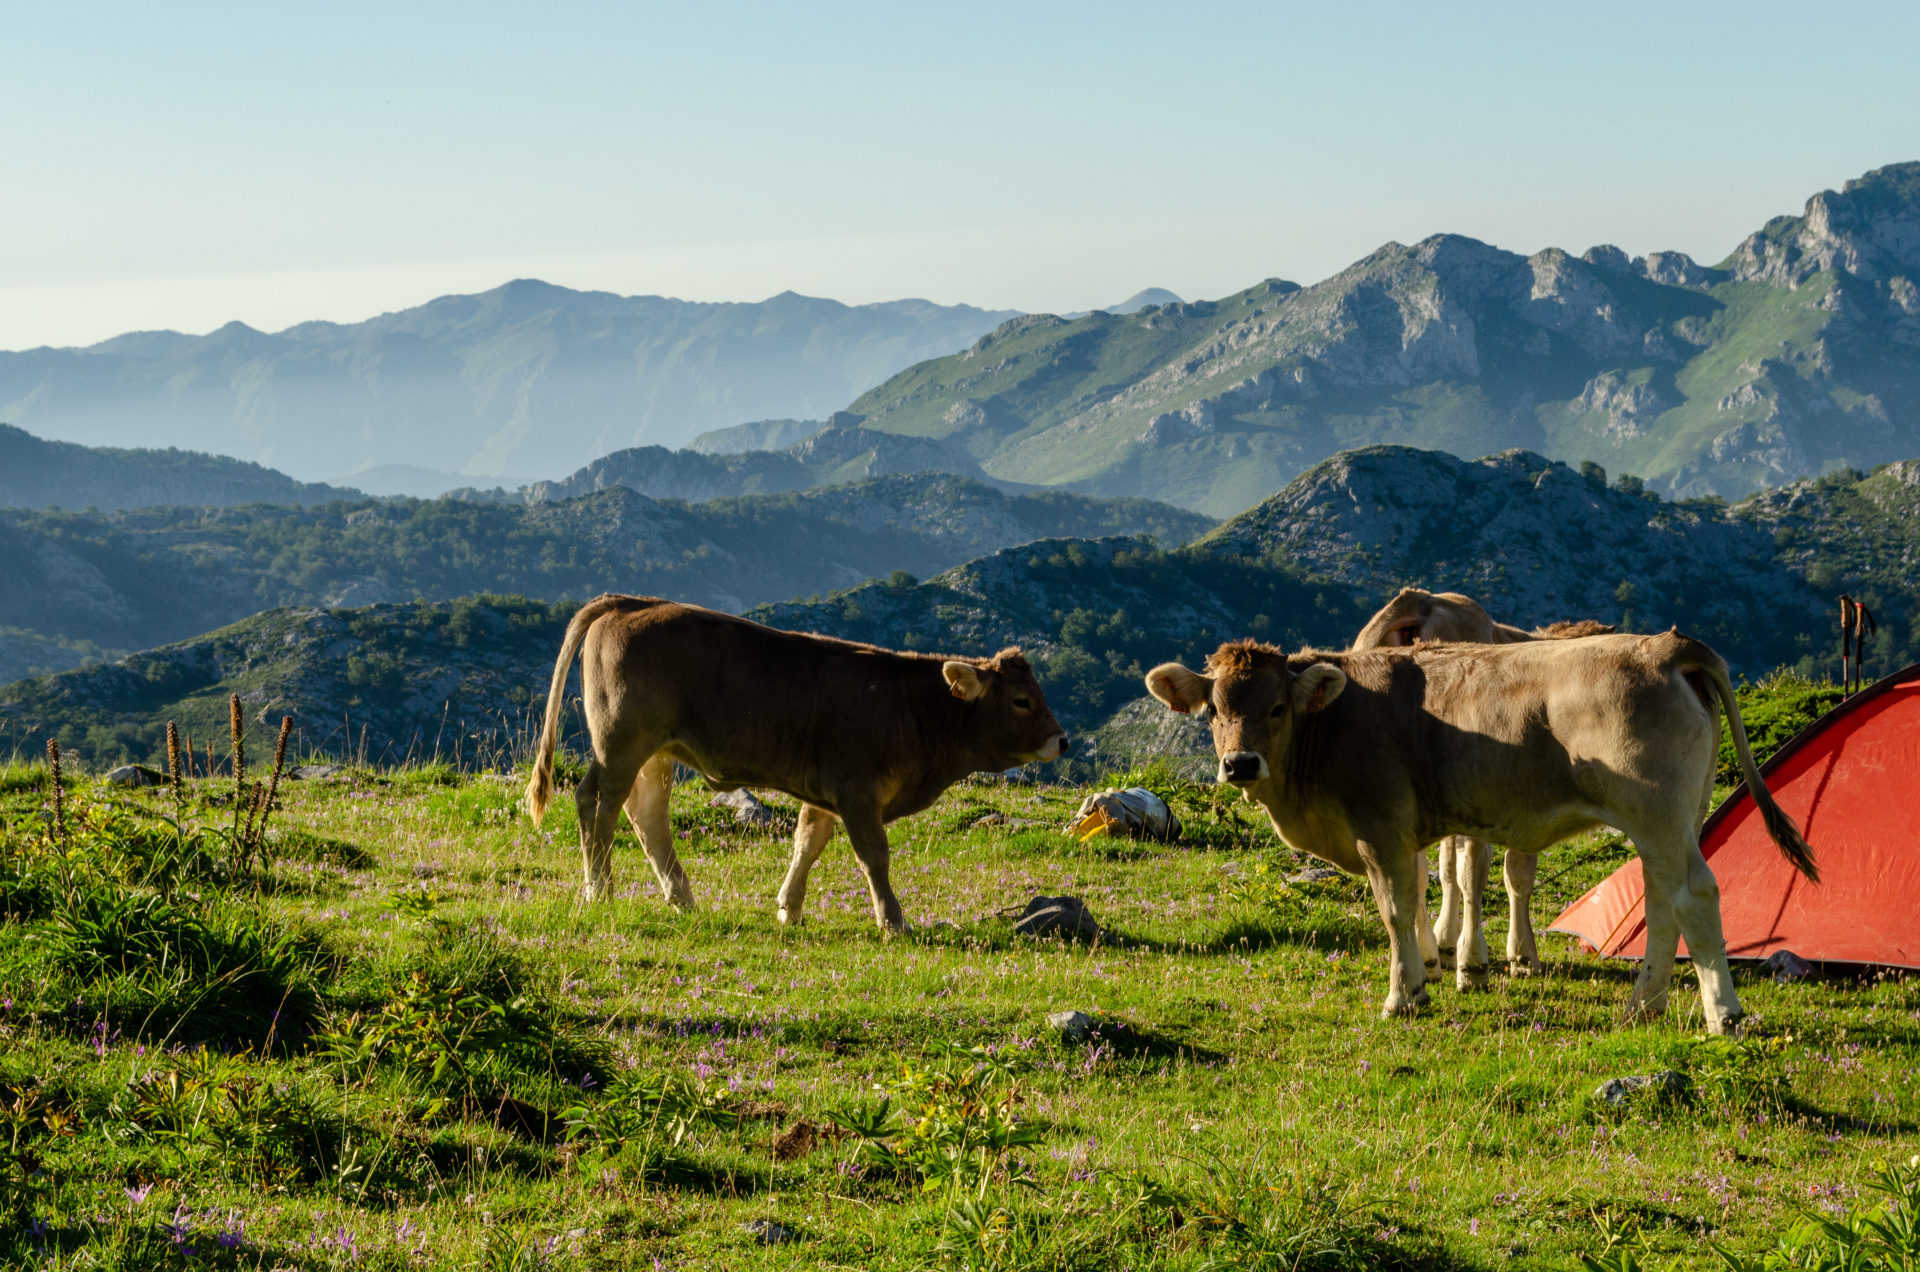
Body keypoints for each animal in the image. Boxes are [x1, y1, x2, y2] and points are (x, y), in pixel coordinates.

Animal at [526, 591, 1067, 933]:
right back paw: (600, 891)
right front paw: (893, 920)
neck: (910, 707)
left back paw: (682, 899)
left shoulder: (826, 793)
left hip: (654, 751)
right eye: (1021, 700)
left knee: (646, 814)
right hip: (620, 742)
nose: (1061, 740)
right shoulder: (856, 790)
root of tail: (629, 602)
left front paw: (789, 910)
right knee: (597, 803)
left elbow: (807, 843)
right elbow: (874, 856)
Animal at [1144, 637, 1820, 1037]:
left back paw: (1723, 1014)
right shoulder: (1408, 833)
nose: (1240, 764)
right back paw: (1642, 1003)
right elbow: (1420, 893)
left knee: (1694, 896)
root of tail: (1663, 646)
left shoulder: (1380, 828)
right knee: (1660, 901)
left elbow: (1394, 909)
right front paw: (1431, 973)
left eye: (1278, 708)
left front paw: (1404, 995)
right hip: (1675, 817)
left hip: (1658, 813)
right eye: (1213, 711)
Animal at [1351, 587, 1620, 983]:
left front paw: (1446, 944)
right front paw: (1522, 956)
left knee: (1416, 871)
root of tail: (1420, 603)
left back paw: (1429, 957)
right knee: (1471, 873)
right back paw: (1472, 962)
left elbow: (1446, 868)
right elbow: (1514, 872)